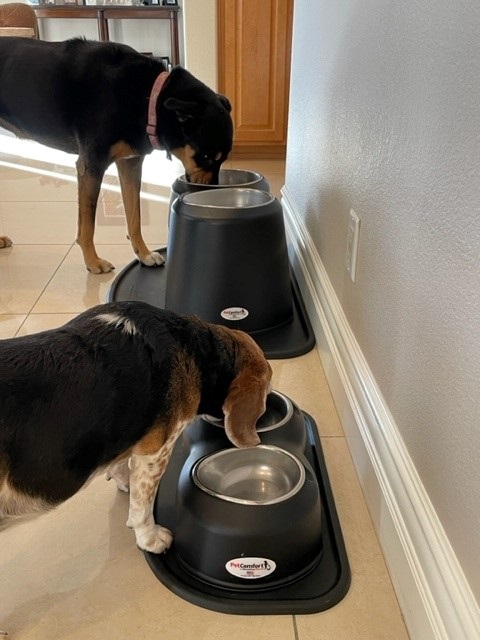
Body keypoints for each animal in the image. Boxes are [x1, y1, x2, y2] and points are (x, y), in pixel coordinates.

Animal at [0, 37, 232, 272]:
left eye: (223, 159)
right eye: (205, 157)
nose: (211, 191)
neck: (148, 97)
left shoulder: (131, 163)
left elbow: (134, 216)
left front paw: (144, 254)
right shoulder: (91, 165)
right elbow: (87, 225)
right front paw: (92, 261)